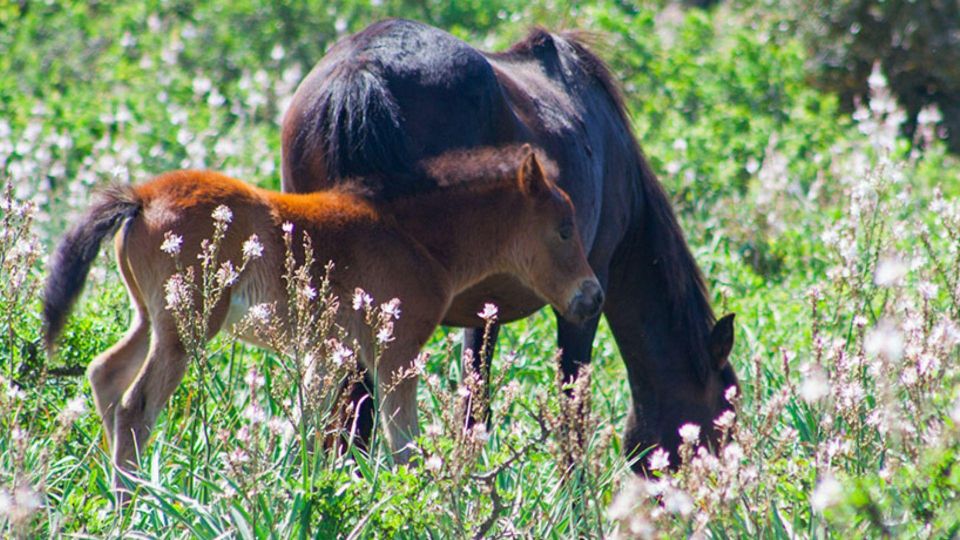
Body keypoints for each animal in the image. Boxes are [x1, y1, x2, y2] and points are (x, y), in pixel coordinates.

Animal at [282, 19, 740, 468]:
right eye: (724, 422)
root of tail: (359, 70)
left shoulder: (484, 309)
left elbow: (474, 403)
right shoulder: (585, 295)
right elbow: (570, 405)